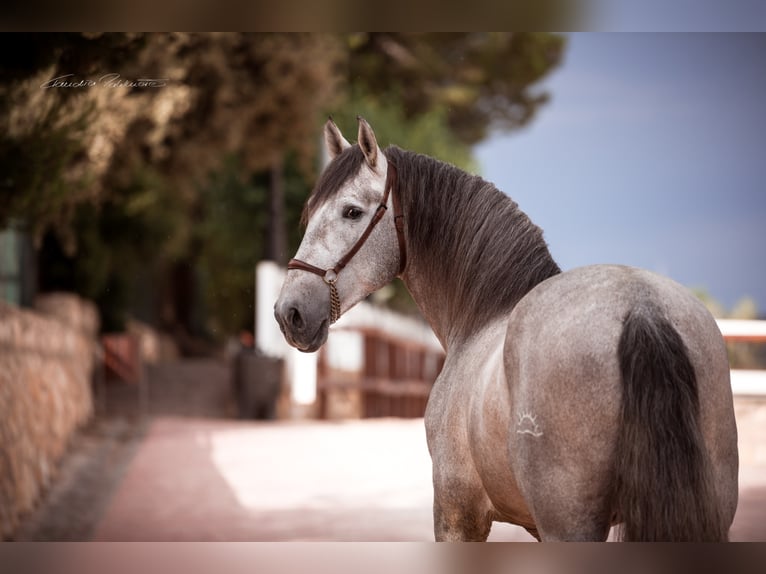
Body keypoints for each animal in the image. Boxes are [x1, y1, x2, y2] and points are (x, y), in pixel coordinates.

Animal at [274, 117, 739, 541]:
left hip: (569, 524)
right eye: (310, 212)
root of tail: (640, 306)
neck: (484, 316)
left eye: (352, 211)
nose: (288, 313)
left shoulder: (457, 514)